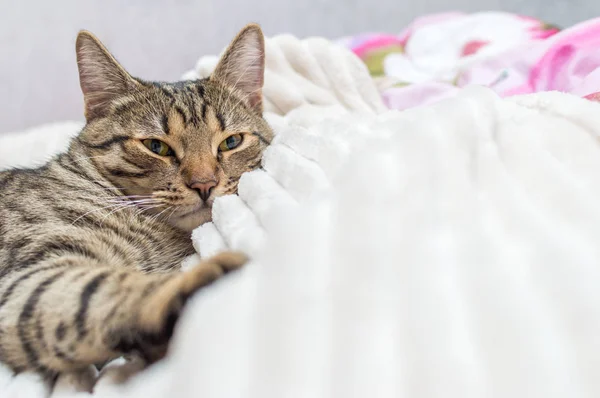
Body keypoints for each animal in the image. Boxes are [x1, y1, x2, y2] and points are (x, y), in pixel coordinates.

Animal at [0, 22, 274, 382]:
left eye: (231, 142)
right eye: (156, 147)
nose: (204, 184)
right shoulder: (29, 273)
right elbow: (97, 291)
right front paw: (198, 282)